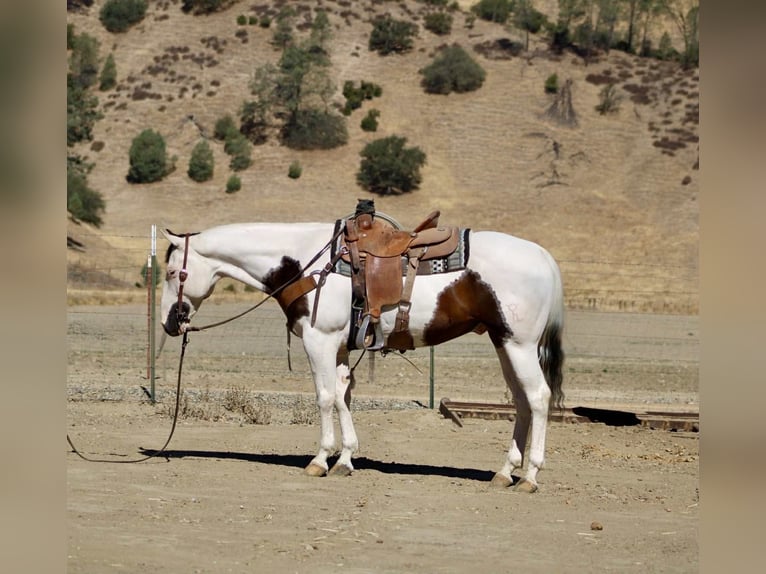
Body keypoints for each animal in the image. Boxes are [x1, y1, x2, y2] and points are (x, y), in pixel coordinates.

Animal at [160, 216, 565, 492]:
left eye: (172, 273)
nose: (169, 323)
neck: (306, 264)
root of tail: (544, 256)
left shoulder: (318, 341)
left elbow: (325, 397)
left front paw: (320, 459)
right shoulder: (338, 346)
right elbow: (343, 397)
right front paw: (345, 458)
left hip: (520, 345)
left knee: (538, 398)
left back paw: (530, 475)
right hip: (504, 343)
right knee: (521, 401)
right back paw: (505, 471)